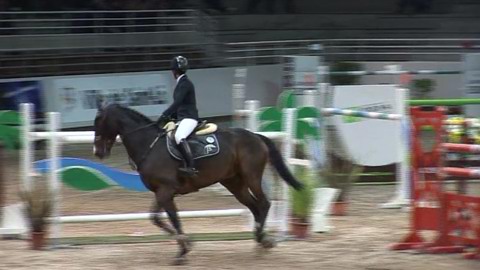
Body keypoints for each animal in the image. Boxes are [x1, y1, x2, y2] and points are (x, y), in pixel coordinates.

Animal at [93, 103, 304, 264]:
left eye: (99, 122)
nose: (98, 152)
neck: (149, 145)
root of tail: (255, 136)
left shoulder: (166, 190)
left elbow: (171, 218)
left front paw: (182, 251)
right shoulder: (161, 192)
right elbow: (157, 218)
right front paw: (186, 243)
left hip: (251, 176)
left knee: (263, 204)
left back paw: (264, 240)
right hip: (234, 183)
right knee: (254, 206)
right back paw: (261, 240)